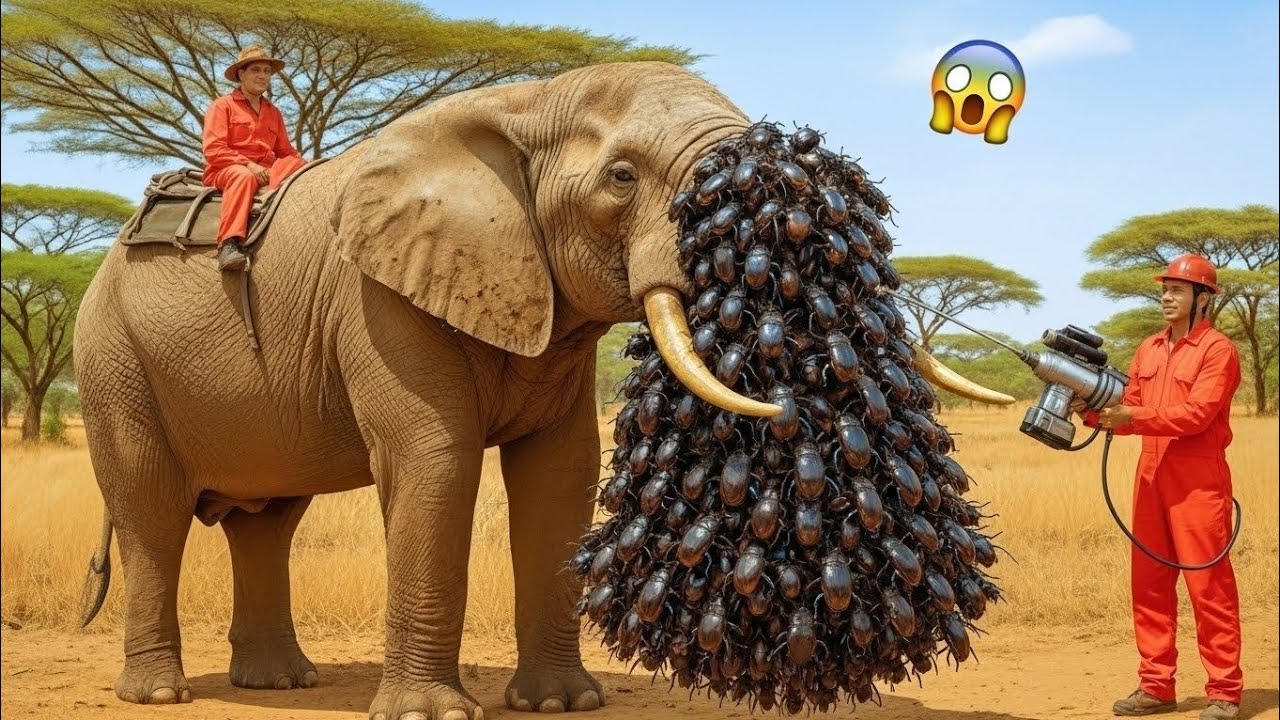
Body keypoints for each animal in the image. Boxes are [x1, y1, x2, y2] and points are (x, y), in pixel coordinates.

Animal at [74, 61, 1000, 720]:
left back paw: (281, 686)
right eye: (621, 178)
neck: (524, 106)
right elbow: (435, 461)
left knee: (267, 523)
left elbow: (559, 475)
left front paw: (562, 705)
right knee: (152, 510)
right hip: (113, 360)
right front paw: (431, 716)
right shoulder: (376, 296)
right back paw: (161, 695)